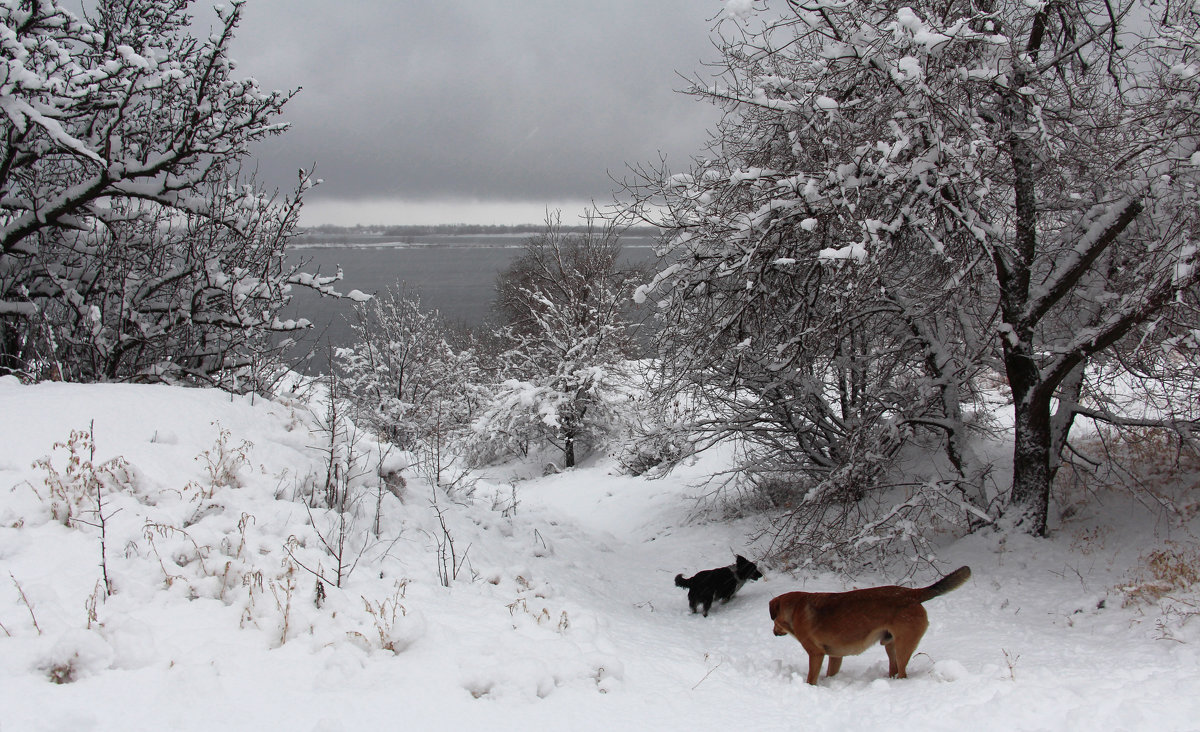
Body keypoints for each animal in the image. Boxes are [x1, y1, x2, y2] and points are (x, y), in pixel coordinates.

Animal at [768, 564, 974, 681]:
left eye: (774, 620)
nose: (773, 632)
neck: (794, 610)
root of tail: (912, 594)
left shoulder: (816, 653)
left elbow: (812, 678)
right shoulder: (835, 656)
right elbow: (830, 673)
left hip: (903, 647)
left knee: (903, 673)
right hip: (891, 646)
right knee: (894, 670)